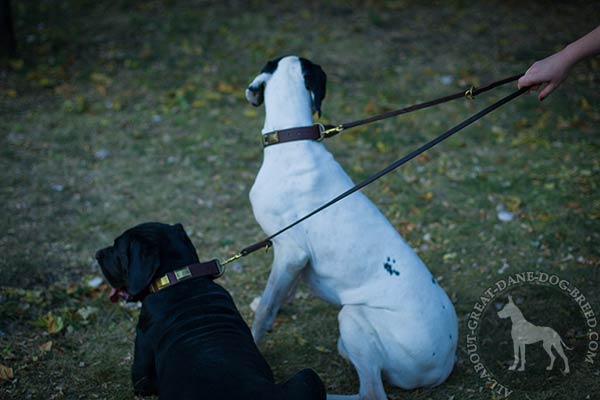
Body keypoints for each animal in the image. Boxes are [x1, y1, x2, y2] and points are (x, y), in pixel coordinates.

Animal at [246, 56, 458, 400]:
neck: (293, 140)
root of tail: (446, 364)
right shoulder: (293, 259)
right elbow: (281, 293)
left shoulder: (290, 252)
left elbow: (266, 309)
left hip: (352, 316)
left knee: (371, 393)